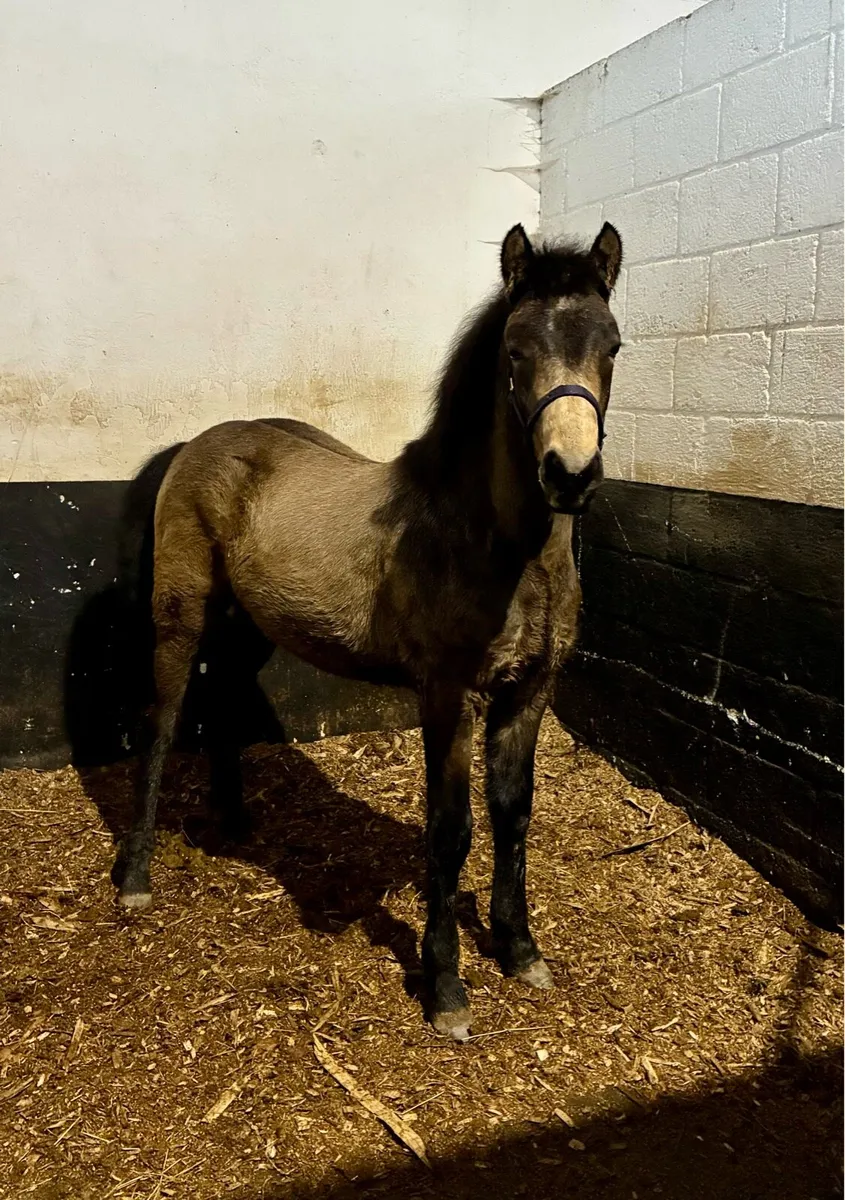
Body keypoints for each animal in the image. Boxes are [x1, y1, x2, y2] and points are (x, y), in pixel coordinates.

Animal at [112, 221, 623, 1040]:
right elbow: (450, 830)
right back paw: (135, 877)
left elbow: (513, 814)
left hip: (250, 624)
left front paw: (520, 950)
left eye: (611, 345)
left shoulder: (528, 692)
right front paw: (445, 989)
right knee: (161, 725)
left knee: (223, 702)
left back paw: (236, 822)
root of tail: (194, 445)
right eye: (515, 351)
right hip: (181, 615)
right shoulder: (445, 695)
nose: (569, 475)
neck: (499, 546)